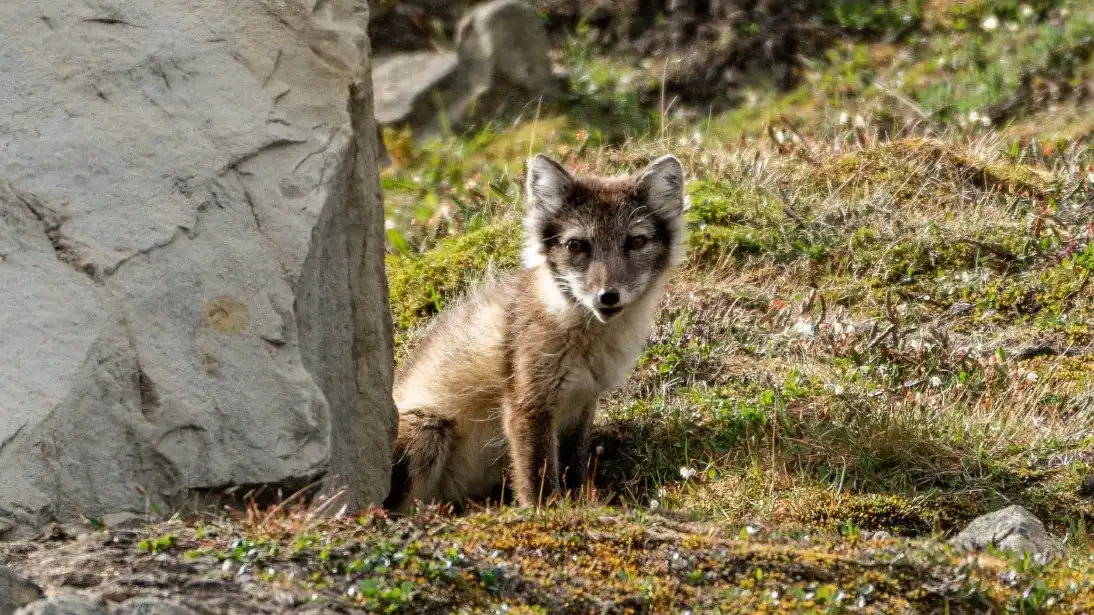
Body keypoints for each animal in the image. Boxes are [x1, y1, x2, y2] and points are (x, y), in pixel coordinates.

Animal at [383, 152, 687, 512]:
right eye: (576, 245)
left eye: (636, 242)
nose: (607, 296)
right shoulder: (527, 404)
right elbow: (537, 476)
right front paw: (545, 512)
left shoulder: (582, 401)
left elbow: (574, 466)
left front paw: (578, 503)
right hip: (428, 427)